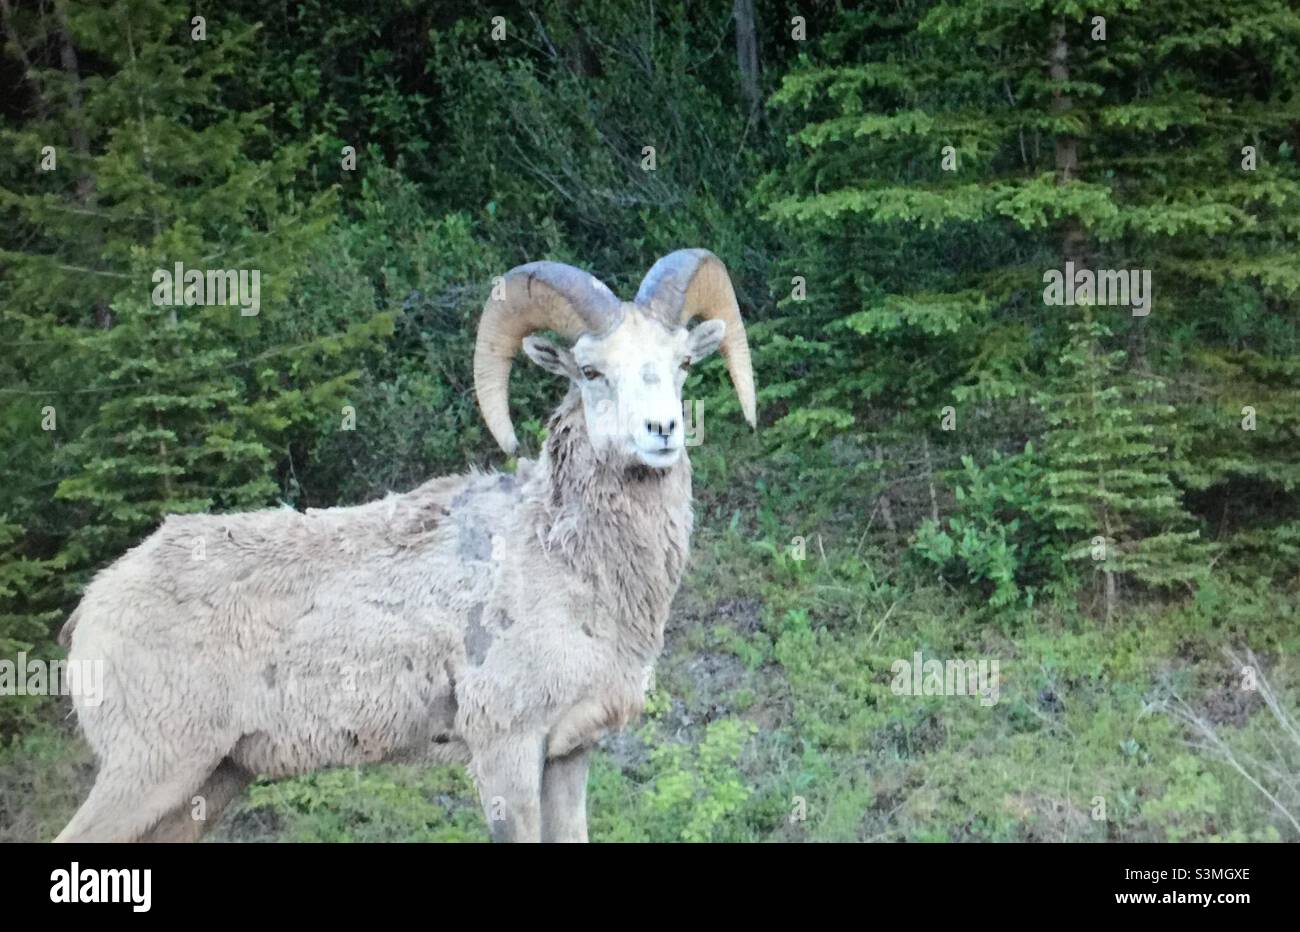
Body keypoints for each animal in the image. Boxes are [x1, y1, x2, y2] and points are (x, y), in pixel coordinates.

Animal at [54, 248, 757, 843]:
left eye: (682, 363)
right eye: (591, 370)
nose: (662, 430)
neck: (567, 565)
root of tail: (93, 607)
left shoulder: (569, 753)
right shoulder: (504, 752)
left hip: (211, 781)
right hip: (150, 771)